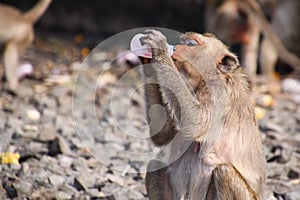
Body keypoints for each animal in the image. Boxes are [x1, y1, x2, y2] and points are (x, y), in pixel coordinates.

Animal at [141, 30, 264, 200]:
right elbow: (163, 135)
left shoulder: (218, 92)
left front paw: (159, 49)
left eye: (192, 43)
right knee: (155, 164)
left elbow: (196, 122)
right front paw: (148, 63)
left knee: (224, 171)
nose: (176, 47)